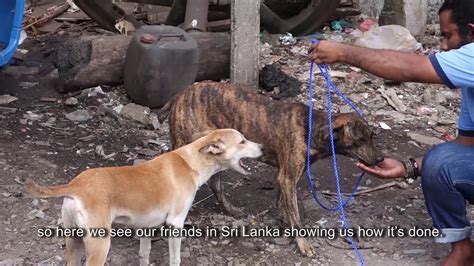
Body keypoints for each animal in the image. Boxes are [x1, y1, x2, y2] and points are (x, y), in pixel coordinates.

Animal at [25, 128, 262, 264]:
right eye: (242, 141)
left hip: (73, 244)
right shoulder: (175, 224)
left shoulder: (146, 227)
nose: (261, 146)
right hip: (100, 246)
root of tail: (76, 185)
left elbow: (144, 254)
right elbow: (175, 259)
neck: (190, 162)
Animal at [161, 82, 384, 256]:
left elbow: (283, 203)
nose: (381, 158)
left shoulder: (285, 176)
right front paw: (302, 243)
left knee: (216, 185)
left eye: (372, 136)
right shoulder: (287, 178)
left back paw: (231, 209)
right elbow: (295, 215)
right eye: (360, 140)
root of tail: (179, 96)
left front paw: (284, 220)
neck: (312, 128)